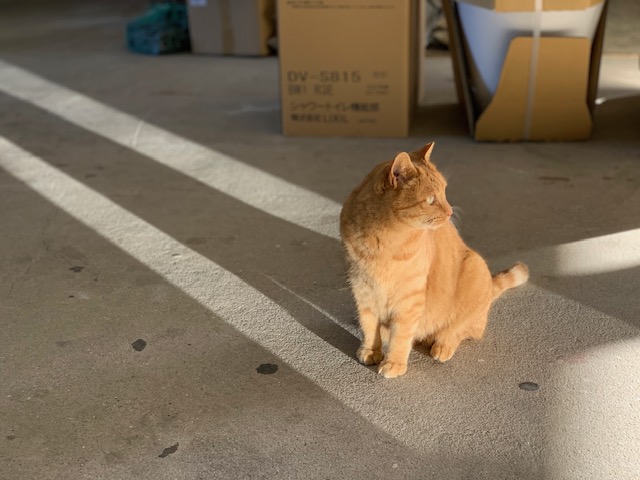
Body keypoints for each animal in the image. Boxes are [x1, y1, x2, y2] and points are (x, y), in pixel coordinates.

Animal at [342, 142, 528, 378]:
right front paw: (370, 350)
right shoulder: (363, 289)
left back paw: (442, 345)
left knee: (460, 329)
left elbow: (401, 335)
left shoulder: (410, 299)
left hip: (474, 267)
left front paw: (394, 363)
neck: (382, 238)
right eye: (431, 200)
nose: (449, 212)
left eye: (445, 192)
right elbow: (368, 326)